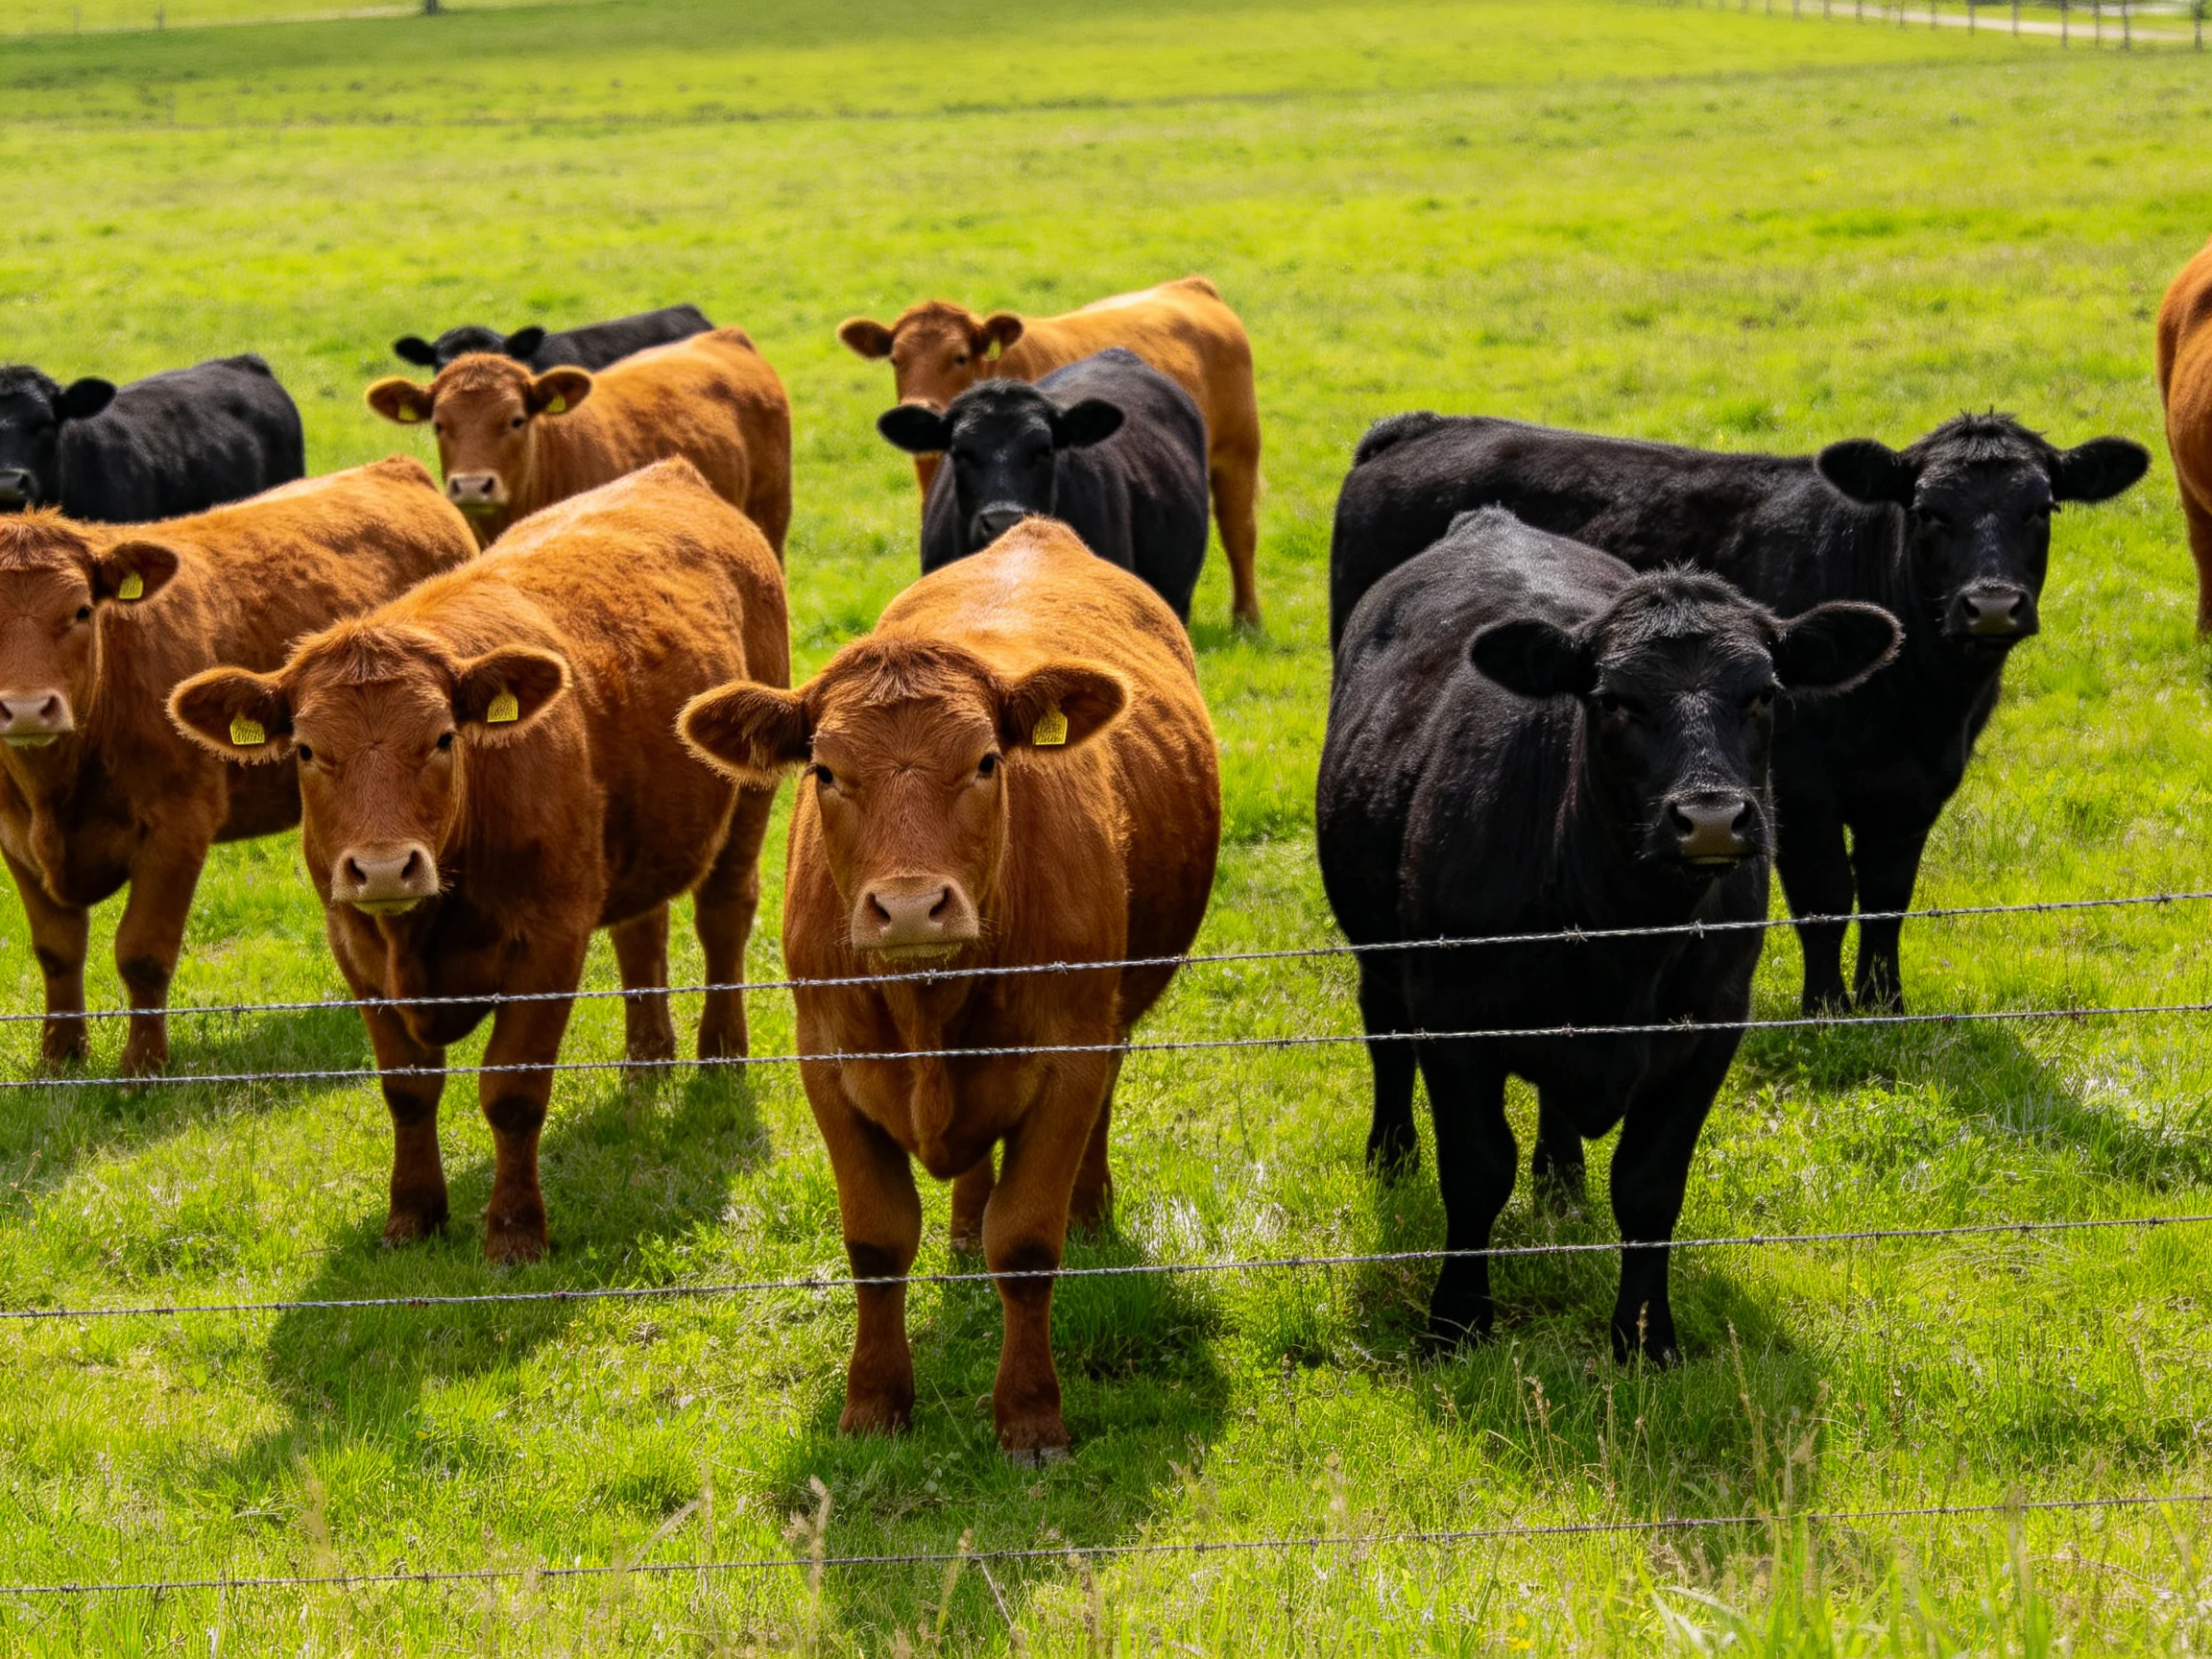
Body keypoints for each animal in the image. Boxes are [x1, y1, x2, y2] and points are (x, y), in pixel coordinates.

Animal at [0, 458, 475, 1075]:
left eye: (81, 611)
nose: (27, 708)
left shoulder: (179, 825)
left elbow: (142, 952)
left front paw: (143, 1067)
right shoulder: (15, 840)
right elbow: (56, 950)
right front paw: (60, 1058)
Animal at [168, 459, 789, 1263]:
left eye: (441, 738)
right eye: (306, 749)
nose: (382, 869)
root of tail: (670, 474)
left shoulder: (550, 945)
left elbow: (512, 1094)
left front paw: (515, 1232)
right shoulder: (354, 947)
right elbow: (406, 1089)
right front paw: (412, 1214)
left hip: (748, 800)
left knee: (723, 917)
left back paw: (720, 1053)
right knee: (642, 930)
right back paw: (649, 1054)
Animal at [679, 518, 1219, 1456]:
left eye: (987, 761)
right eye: (825, 771)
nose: (909, 907)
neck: (930, 1007)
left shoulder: (1070, 1056)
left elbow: (1028, 1243)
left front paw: (1031, 1415)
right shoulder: (828, 1064)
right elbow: (876, 1242)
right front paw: (873, 1403)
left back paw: (1089, 1211)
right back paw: (965, 1230)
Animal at [1318, 508, 1899, 1359]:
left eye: (1763, 694)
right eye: (1615, 700)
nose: (1711, 819)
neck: (1625, 939)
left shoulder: (1712, 1023)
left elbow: (1650, 1187)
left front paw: (1646, 1337)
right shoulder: (1452, 1017)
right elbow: (1475, 1172)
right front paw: (1457, 1321)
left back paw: (1562, 1185)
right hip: (1380, 954)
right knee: (1384, 1034)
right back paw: (1390, 1158)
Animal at [1329, 412, 2148, 1013]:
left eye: (2041, 509)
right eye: (1928, 512)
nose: (1992, 605)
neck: (1924, 701)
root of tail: (1424, 427)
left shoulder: (1917, 789)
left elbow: (1889, 899)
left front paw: (1886, 1006)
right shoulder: (1803, 791)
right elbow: (1826, 899)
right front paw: (1826, 1011)